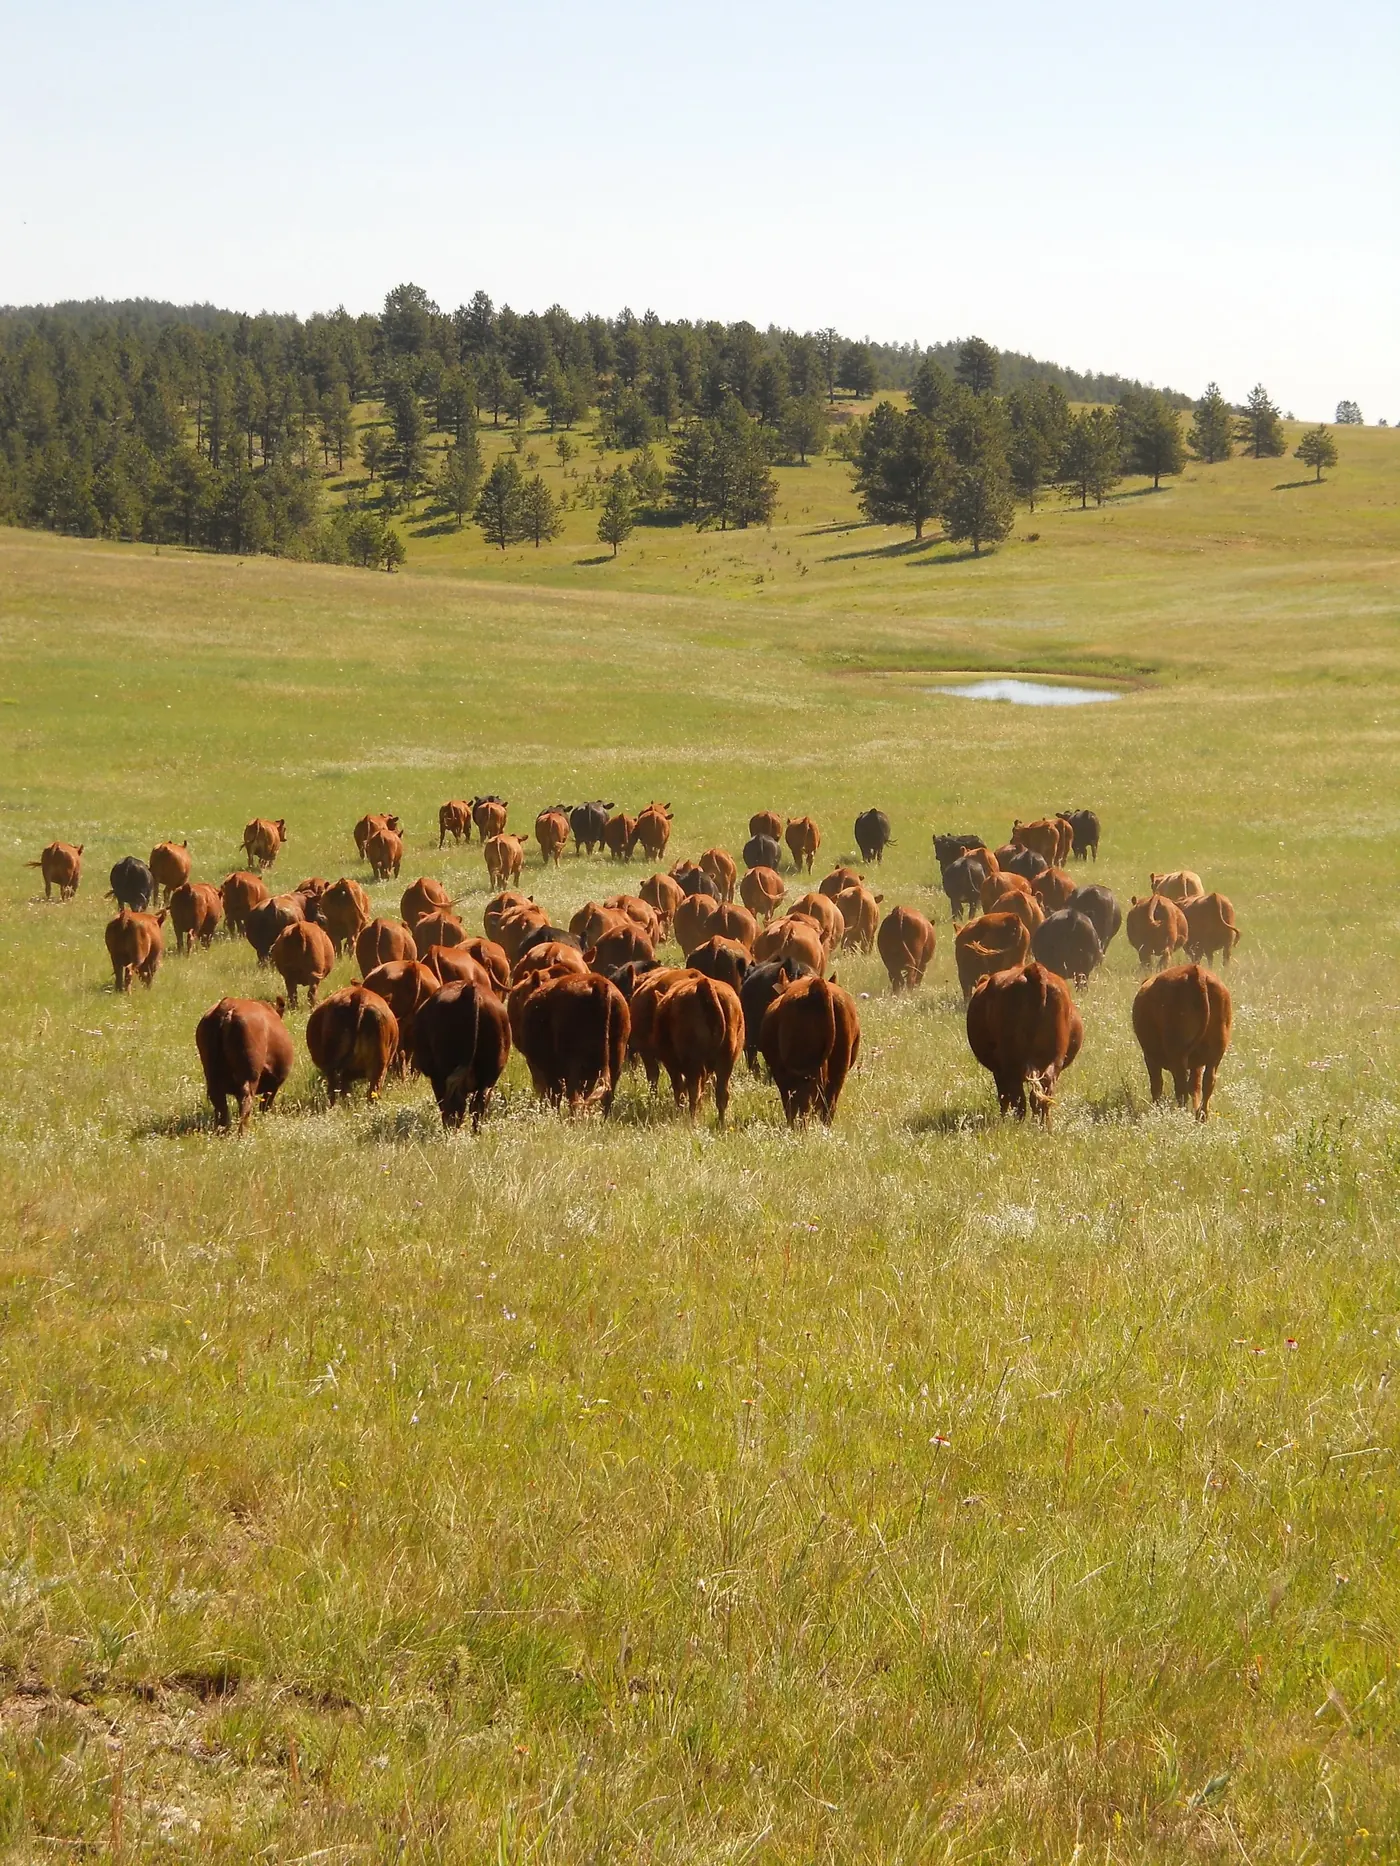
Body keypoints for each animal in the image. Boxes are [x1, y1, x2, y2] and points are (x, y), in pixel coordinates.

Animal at [195, 997, 294, 1131]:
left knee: (220, 1104)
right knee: (245, 1101)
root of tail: (228, 1004)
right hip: (250, 1075)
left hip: (212, 1075)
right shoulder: (274, 1084)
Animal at [654, 974, 745, 1124]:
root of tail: (704, 984)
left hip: (694, 1064)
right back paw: (721, 1123)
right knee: (721, 1094)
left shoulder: (671, 1064)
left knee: (694, 1092)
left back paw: (692, 1121)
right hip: (726, 1060)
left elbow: (679, 1089)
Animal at [966, 962, 1083, 1123]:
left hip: (1012, 1063)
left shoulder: (999, 1070)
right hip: (1054, 1060)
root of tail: (1033, 970)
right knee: (1043, 1093)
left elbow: (1004, 1097)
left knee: (1019, 1099)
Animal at [1132, 964, 1233, 1120]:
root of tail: (1196, 972)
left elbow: (1156, 1084)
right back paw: (1201, 1115)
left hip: (1177, 1055)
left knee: (1181, 1086)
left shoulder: (1150, 1057)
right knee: (1207, 1082)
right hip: (1216, 1055)